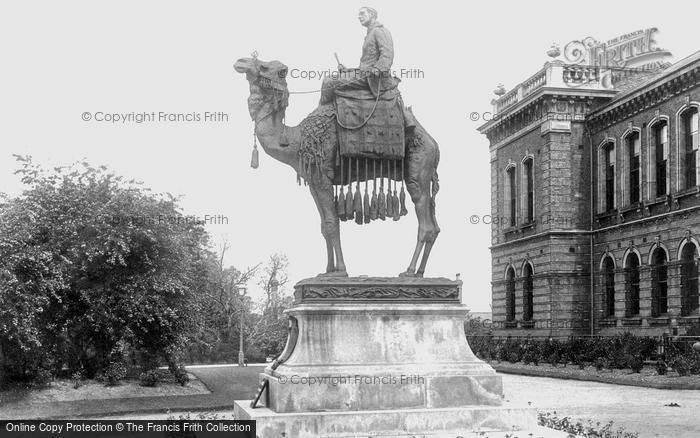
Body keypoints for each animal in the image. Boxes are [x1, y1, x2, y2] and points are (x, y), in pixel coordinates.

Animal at [232, 57, 440, 278]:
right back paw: (419, 272)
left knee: (425, 222)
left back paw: (409, 272)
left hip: (419, 167)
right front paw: (327, 270)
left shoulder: (322, 177)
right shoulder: (313, 182)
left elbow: (332, 224)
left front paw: (340, 271)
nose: (241, 62)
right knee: (434, 226)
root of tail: (435, 145)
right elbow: (324, 226)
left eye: (272, 68)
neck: (296, 138)